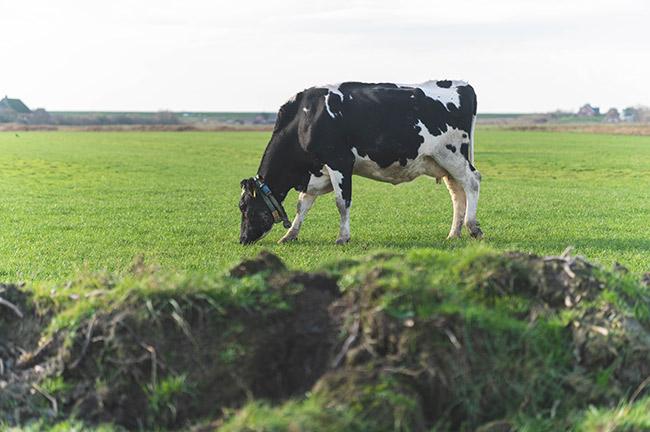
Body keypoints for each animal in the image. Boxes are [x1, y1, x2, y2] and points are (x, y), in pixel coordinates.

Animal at [238, 79, 480, 245]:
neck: (305, 120)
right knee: (457, 193)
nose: (242, 239)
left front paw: (342, 237)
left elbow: (341, 202)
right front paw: (290, 235)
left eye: (243, 206)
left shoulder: (339, 161)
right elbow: (303, 204)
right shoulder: (317, 172)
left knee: (472, 182)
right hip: (442, 163)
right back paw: (454, 233)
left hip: (452, 154)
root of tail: (462, 85)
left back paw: (472, 227)